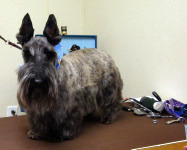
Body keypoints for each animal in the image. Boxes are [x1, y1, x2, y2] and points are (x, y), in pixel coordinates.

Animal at [16, 13, 123, 142]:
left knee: (112, 103)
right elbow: (36, 119)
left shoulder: (69, 107)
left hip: (109, 88)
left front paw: (63, 134)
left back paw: (109, 117)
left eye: (49, 53)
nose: (38, 81)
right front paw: (36, 132)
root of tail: (105, 53)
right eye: (27, 53)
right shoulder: (35, 108)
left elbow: (67, 120)